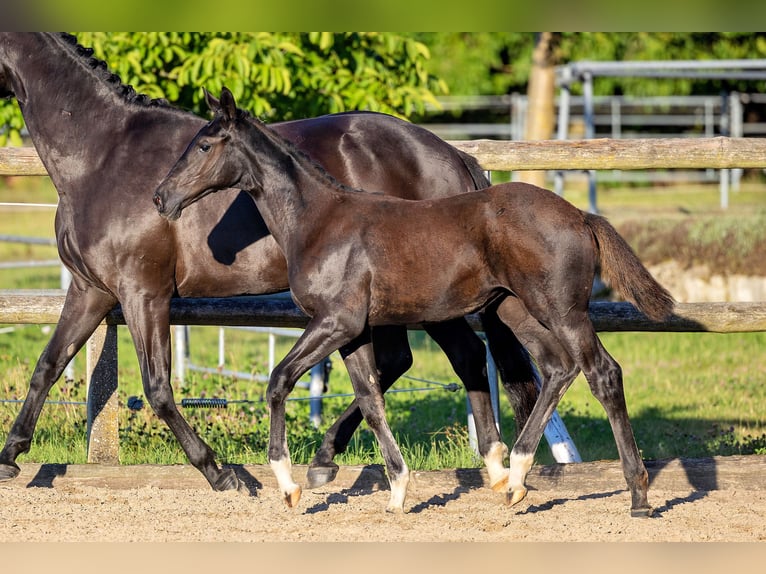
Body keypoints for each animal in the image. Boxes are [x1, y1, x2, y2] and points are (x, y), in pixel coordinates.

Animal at [0, 32, 536, 496]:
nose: (162, 199)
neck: (103, 155)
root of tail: (455, 158)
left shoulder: (143, 293)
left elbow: (157, 387)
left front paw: (220, 473)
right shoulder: (91, 290)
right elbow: (48, 366)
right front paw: (10, 457)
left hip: (429, 298)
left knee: (459, 357)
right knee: (407, 362)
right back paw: (335, 459)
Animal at [156, 89, 680, 516]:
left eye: (204, 145)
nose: (162, 197)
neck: (319, 219)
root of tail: (580, 215)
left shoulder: (334, 322)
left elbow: (279, 381)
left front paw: (289, 486)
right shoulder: (353, 331)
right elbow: (370, 399)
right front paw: (395, 490)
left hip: (562, 310)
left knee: (602, 373)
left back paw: (636, 495)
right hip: (514, 309)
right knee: (556, 368)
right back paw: (514, 479)